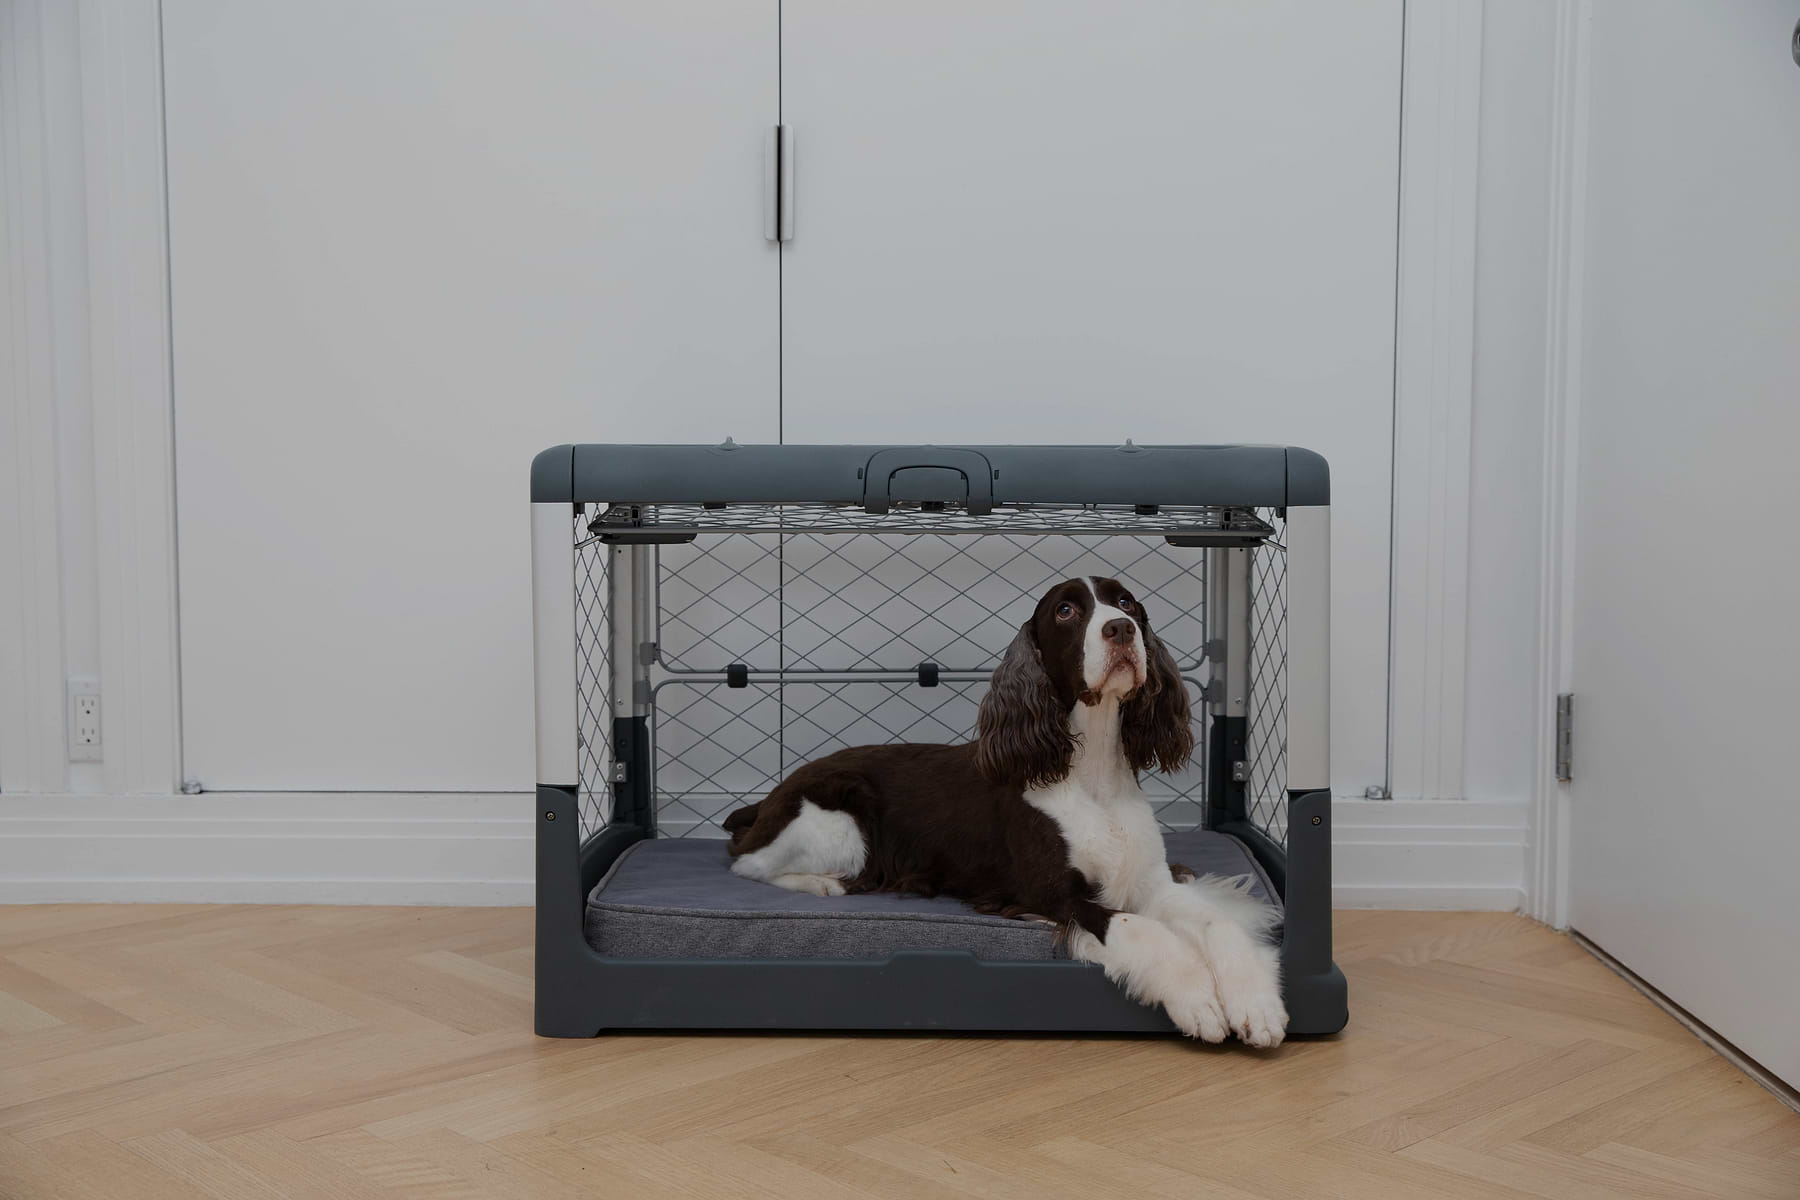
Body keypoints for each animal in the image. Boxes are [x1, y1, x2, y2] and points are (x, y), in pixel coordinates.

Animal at [723, 575, 1288, 1043]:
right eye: (1066, 611)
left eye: (1126, 601)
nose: (1122, 629)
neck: (1093, 773)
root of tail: (771, 797)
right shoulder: (1055, 894)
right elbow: (1139, 927)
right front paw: (1198, 1002)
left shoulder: (1151, 882)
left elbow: (1217, 920)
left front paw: (1255, 1004)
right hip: (838, 813)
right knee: (747, 862)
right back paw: (823, 884)